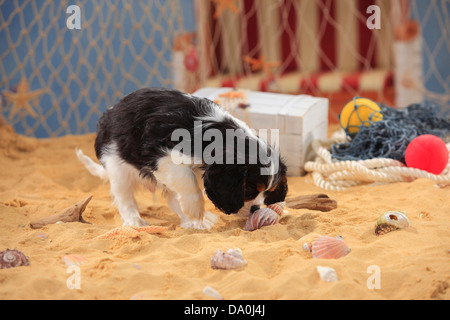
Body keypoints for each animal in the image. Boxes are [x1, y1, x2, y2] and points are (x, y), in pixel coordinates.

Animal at [76, 87, 288, 228]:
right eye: (248, 189)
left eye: (268, 192)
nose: (256, 209)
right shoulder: (159, 155)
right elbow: (187, 181)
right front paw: (195, 209)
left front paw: (196, 216)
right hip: (116, 164)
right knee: (124, 196)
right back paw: (134, 220)